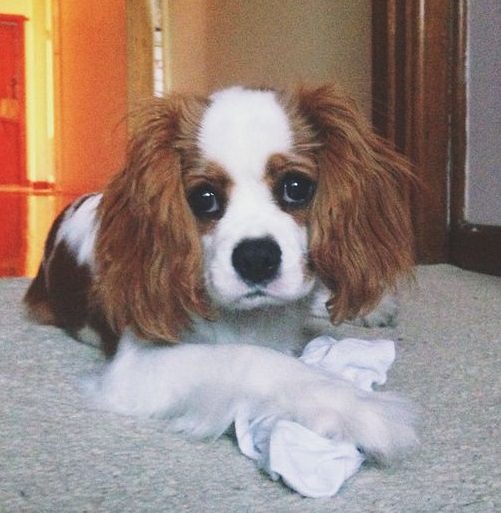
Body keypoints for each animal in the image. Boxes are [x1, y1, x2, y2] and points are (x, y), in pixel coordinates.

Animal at [23, 85, 414, 460]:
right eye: (204, 197)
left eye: (296, 187)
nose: (256, 258)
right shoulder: (136, 368)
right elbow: (249, 356)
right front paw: (360, 407)